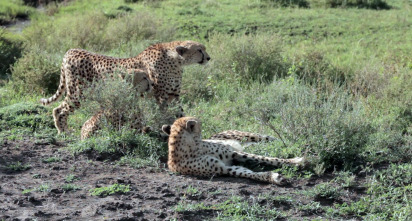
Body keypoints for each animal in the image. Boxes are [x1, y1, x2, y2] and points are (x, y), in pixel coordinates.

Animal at [39, 41, 209, 135]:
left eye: (203, 49)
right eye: (199, 50)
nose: (208, 57)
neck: (176, 60)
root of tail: (72, 50)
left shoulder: (173, 95)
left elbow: (180, 114)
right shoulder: (162, 97)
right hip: (78, 93)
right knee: (59, 109)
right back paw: (63, 131)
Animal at [163, 117, 304, 185]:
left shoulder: (234, 153)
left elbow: (266, 158)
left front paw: (296, 161)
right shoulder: (223, 168)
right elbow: (248, 172)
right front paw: (274, 177)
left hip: (250, 136)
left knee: (273, 139)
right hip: (249, 144)